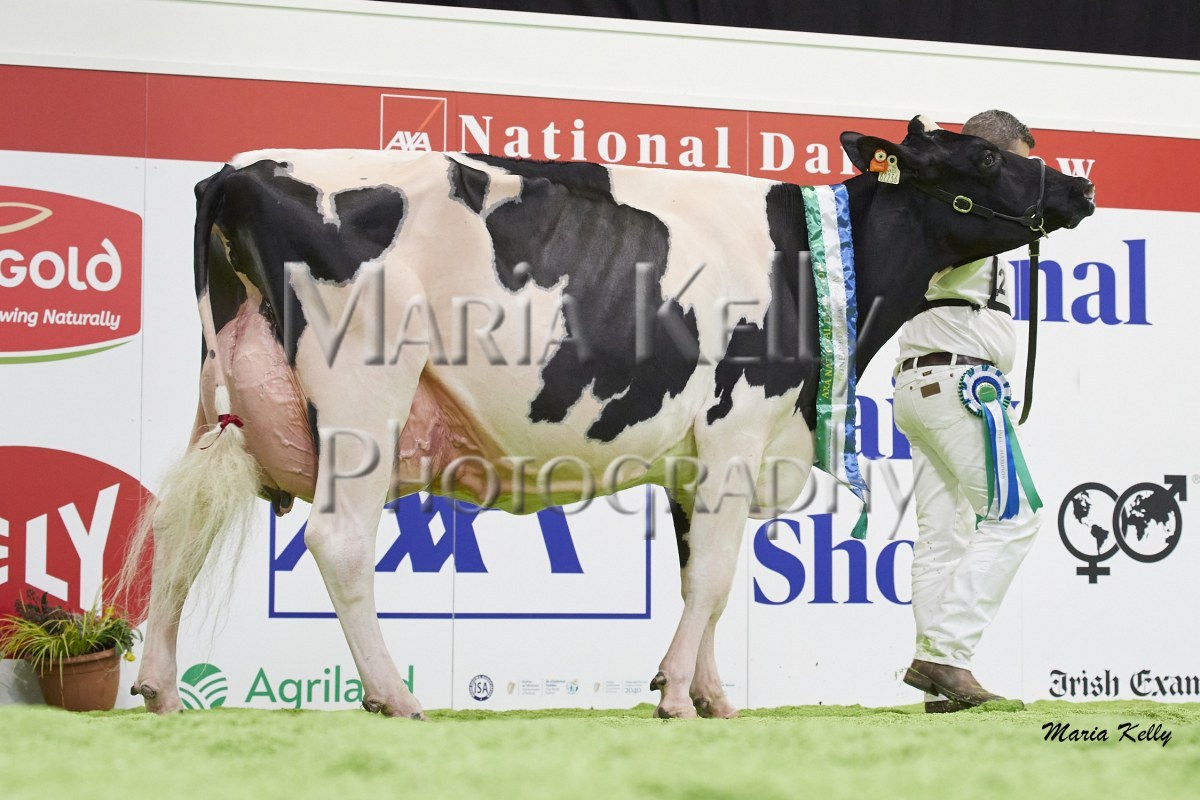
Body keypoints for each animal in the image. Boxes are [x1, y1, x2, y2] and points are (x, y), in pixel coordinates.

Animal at [121, 116, 1094, 720]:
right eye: (983, 161)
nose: (1081, 186)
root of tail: (238, 170)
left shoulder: (696, 461)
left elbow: (702, 573)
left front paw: (707, 697)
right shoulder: (739, 424)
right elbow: (714, 580)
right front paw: (674, 697)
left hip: (221, 386)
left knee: (179, 523)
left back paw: (161, 689)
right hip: (365, 392)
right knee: (338, 541)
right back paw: (395, 696)